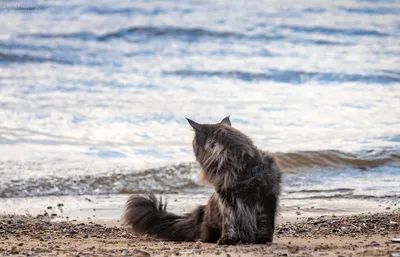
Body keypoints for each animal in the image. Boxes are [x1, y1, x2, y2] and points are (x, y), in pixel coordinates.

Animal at [122, 116, 282, 244]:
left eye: (194, 142)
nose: (192, 147)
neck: (239, 171)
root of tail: (200, 214)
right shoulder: (227, 202)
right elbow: (230, 222)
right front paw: (228, 239)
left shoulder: (267, 199)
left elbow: (265, 223)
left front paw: (263, 239)